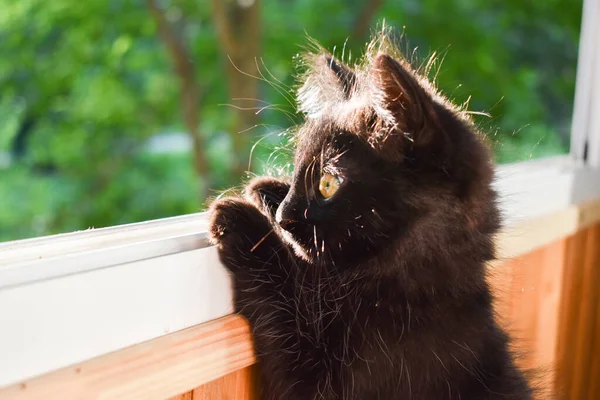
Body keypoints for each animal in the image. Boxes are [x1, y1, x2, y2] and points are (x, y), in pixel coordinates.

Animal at [209, 35, 532, 400]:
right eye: (296, 172)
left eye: (328, 184)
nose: (283, 216)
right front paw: (266, 190)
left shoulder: (333, 384)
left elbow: (282, 302)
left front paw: (244, 226)